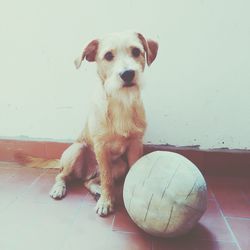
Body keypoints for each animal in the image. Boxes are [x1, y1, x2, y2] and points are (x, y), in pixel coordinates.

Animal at [16, 31, 158, 216]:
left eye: (136, 51)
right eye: (108, 56)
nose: (127, 74)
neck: (121, 102)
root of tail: (86, 172)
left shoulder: (135, 144)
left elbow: (130, 172)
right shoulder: (101, 147)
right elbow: (106, 179)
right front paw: (106, 202)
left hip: (119, 165)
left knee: (88, 182)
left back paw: (96, 190)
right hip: (77, 150)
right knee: (62, 176)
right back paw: (60, 188)